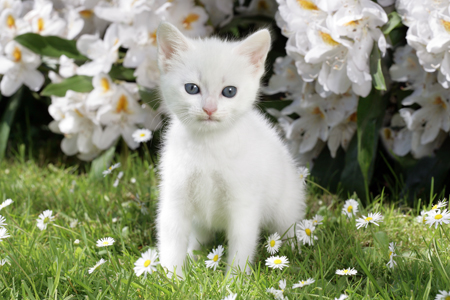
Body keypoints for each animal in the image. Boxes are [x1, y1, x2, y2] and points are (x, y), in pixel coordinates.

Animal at [155, 22, 306, 278]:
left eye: (229, 91)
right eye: (191, 88)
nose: (209, 109)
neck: (208, 145)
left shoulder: (243, 201)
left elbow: (241, 240)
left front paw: (234, 279)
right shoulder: (176, 194)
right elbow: (172, 236)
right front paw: (171, 278)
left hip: (286, 204)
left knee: (289, 226)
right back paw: (194, 255)